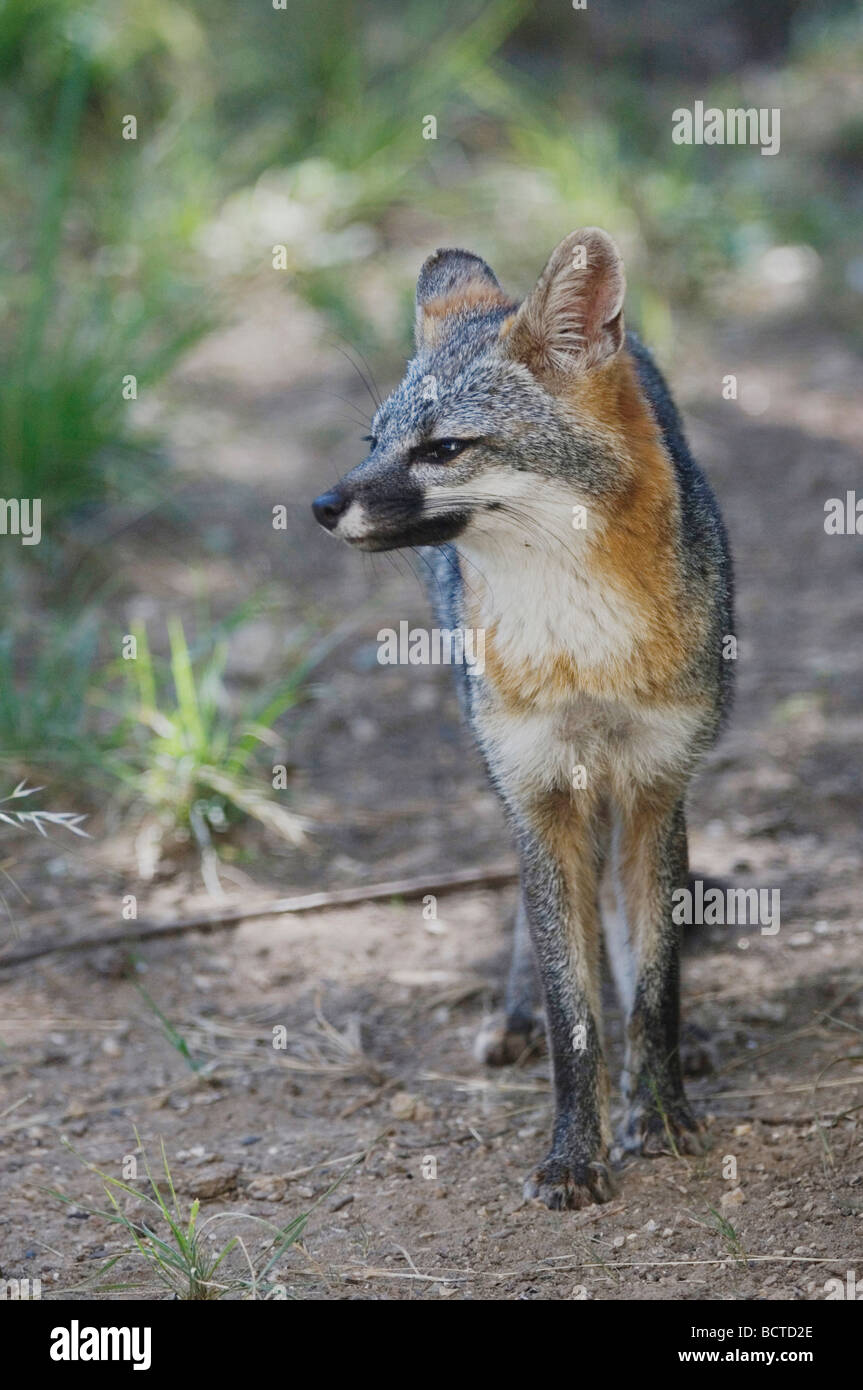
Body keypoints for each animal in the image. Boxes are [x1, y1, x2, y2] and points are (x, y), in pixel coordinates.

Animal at [312, 227, 728, 1206]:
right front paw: (574, 1149)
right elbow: (570, 1002)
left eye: (443, 448)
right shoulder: (538, 788)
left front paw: (660, 1112)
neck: (582, 651)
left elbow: (654, 980)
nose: (321, 505)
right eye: (373, 442)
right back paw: (515, 1011)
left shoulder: (657, 785)